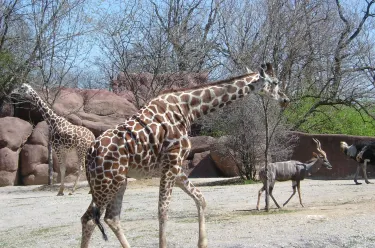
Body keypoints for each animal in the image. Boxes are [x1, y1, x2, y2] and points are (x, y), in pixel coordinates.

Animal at [81, 62, 290, 248]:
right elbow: (163, 211)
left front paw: (203, 244)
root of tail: (89, 154)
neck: (189, 109)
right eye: (275, 82)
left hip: (117, 181)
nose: (286, 100)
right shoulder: (172, 161)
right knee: (90, 219)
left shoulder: (176, 167)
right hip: (107, 182)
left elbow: (201, 199)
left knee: (110, 217)